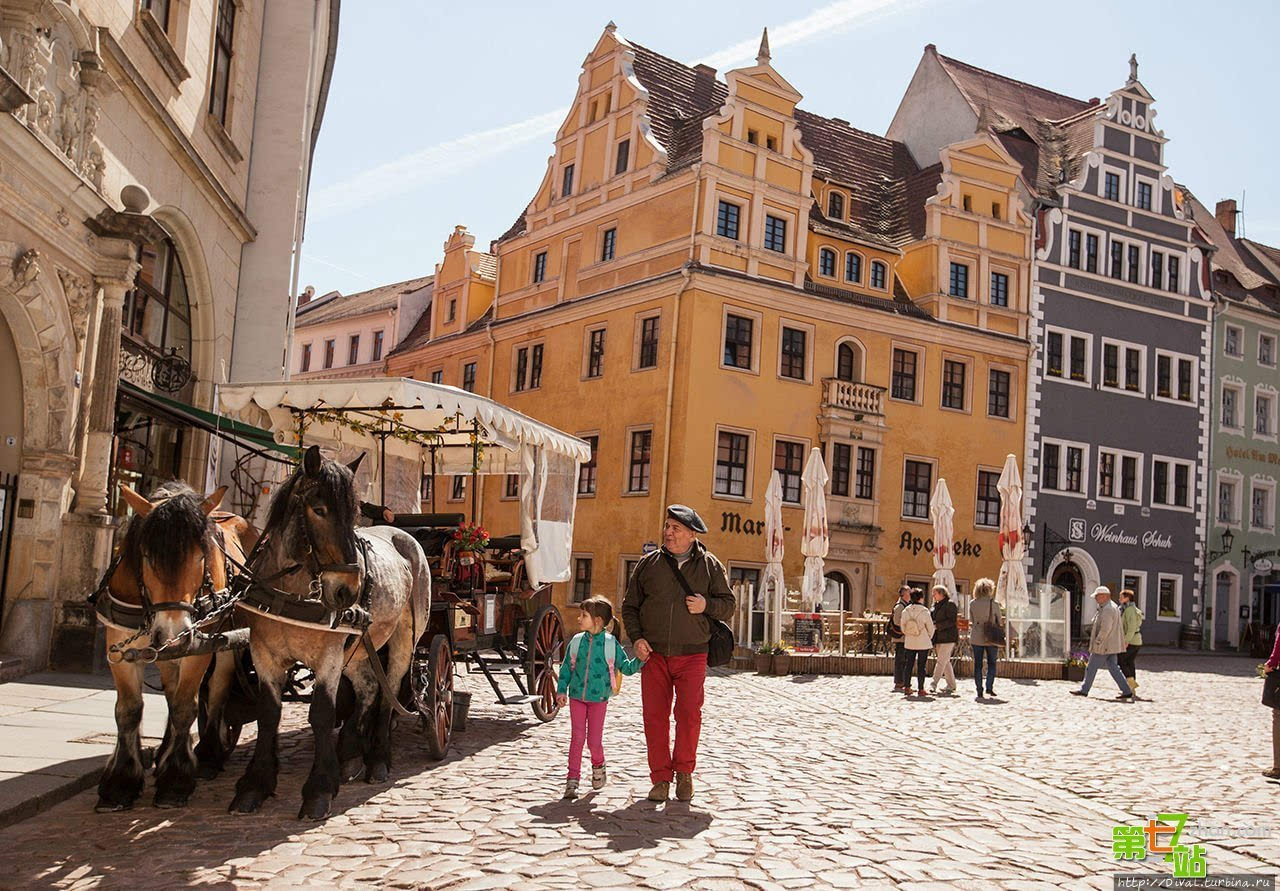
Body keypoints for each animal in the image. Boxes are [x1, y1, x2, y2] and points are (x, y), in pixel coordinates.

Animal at [96, 483, 256, 809]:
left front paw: (176, 780)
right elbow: (128, 709)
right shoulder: (118, 644)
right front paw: (121, 781)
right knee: (170, 688)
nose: (176, 632)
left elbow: (185, 706)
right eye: (147, 556)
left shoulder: (199, 645)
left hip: (225, 641)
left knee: (218, 687)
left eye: (200, 556)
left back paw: (208, 754)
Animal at [229, 445, 430, 819]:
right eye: (319, 509)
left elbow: (322, 713)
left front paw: (320, 788)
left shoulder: (329, 656)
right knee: (368, 688)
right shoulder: (264, 653)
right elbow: (268, 714)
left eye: (354, 514)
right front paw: (256, 784)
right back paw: (350, 753)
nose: (347, 590)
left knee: (388, 693)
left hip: (403, 639)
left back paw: (377, 758)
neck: (291, 593)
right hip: (361, 647)